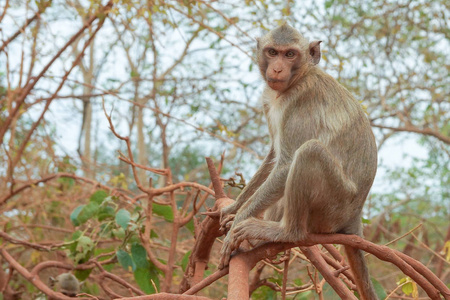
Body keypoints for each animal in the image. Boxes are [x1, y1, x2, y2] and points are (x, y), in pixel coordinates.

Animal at [220, 24, 378, 300]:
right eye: (272, 52)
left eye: (290, 54)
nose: (277, 69)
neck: (295, 81)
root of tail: (355, 215)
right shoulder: (268, 99)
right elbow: (274, 156)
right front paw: (234, 208)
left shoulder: (301, 102)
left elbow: (285, 164)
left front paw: (237, 222)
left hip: (332, 207)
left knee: (309, 152)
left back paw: (282, 232)